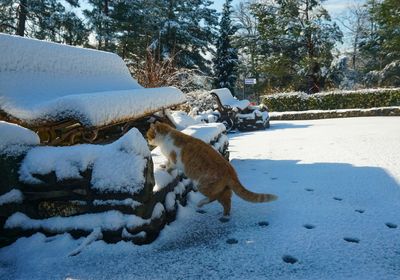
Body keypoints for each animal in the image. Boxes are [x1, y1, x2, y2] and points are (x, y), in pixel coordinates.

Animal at [148, 122, 278, 217]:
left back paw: (201, 204)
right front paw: (163, 166)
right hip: (223, 189)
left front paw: (165, 170)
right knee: (226, 199)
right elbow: (167, 163)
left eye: (149, 134)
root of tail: (230, 170)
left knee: (214, 197)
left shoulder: (174, 161)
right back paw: (225, 214)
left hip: (202, 185)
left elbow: (170, 167)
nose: (148, 140)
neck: (166, 137)